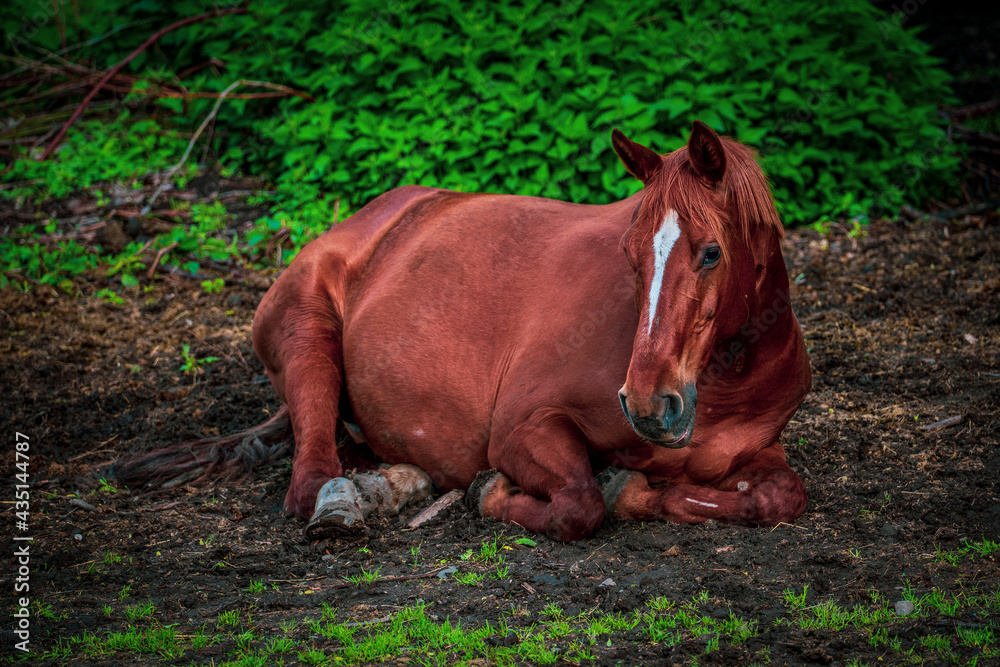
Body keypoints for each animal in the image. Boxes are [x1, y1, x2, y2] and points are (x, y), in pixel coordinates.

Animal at [115, 121, 811, 542]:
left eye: (712, 253)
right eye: (630, 255)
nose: (646, 404)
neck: (726, 384)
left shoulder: (757, 455)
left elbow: (777, 497)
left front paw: (638, 489)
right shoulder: (524, 427)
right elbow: (582, 503)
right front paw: (497, 493)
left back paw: (393, 483)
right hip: (307, 339)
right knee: (310, 475)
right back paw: (349, 501)